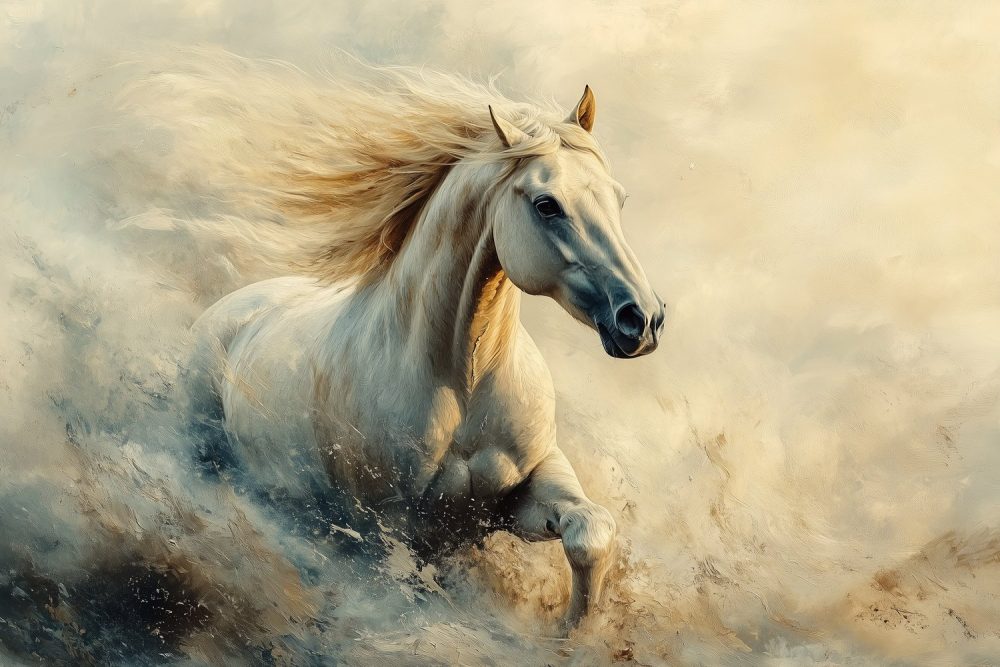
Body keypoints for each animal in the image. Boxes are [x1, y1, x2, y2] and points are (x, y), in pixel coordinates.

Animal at [184, 74, 665, 631]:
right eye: (547, 205)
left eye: (619, 199)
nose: (641, 319)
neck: (465, 379)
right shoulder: (390, 530)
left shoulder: (523, 490)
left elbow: (591, 532)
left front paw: (570, 634)